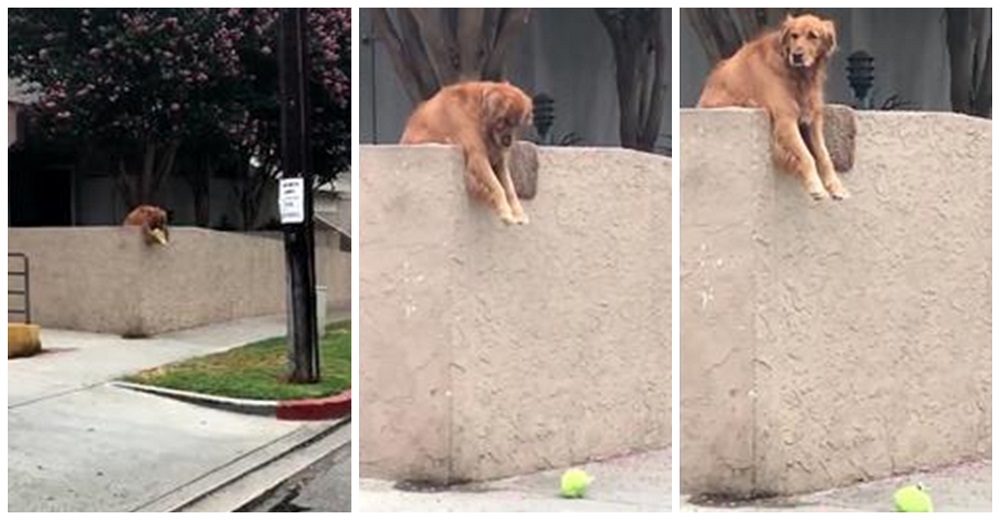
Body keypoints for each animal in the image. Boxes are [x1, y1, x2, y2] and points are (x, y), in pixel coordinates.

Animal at [402, 80, 536, 222]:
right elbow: (498, 186)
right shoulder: (477, 156)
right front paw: (505, 212)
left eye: (516, 124)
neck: (479, 111)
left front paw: (519, 213)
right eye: (502, 121)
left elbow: (510, 189)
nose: (508, 142)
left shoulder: (499, 161)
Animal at [696, 13, 852, 201]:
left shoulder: (813, 120)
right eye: (794, 35)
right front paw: (815, 186)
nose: (797, 55)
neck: (800, 76)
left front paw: (836, 187)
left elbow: (824, 156)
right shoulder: (786, 119)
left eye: (813, 36)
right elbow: (807, 156)